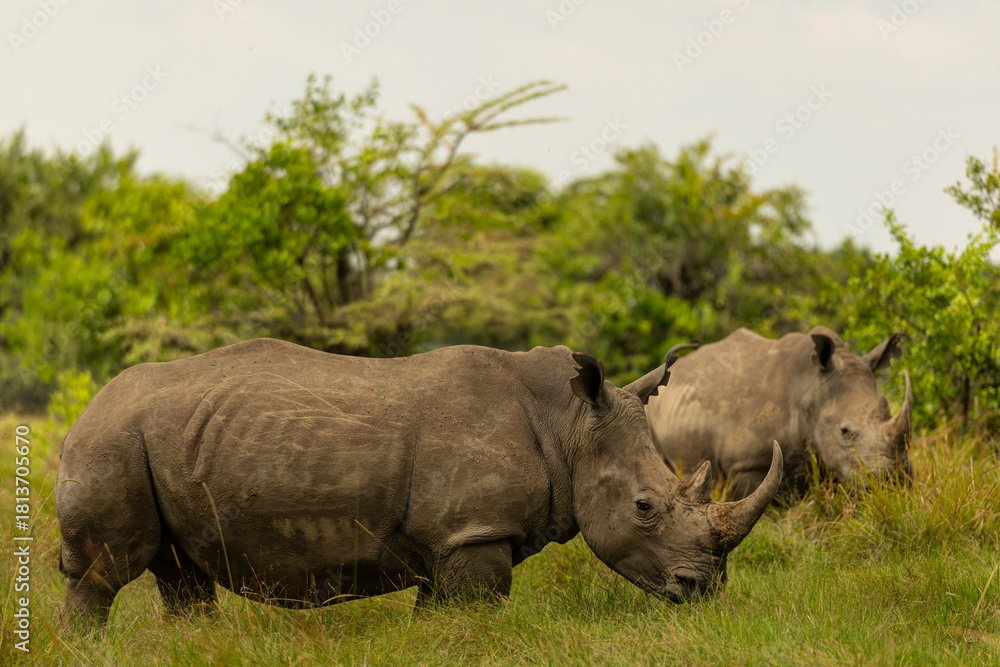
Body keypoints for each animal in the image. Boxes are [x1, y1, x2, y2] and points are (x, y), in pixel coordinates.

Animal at [56, 338, 782, 629]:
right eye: (644, 506)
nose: (703, 587)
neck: (569, 423)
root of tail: (85, 407)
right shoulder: (474, 533)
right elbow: (477, 616)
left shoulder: (450, 539)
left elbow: (439, 617)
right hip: (111, 441)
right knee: (102, 574)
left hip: (157, 441)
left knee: (181, 574)